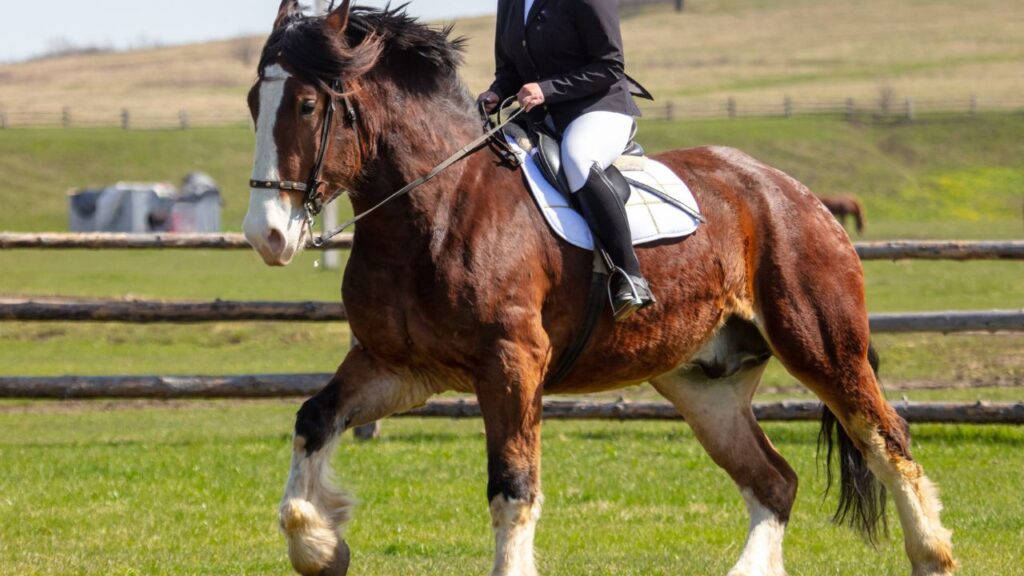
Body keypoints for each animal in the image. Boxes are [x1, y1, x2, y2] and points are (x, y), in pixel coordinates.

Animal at [242, 2, 955, 575]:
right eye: (254, 104)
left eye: (306, 105)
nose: (266, 236)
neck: (434, 209)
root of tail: (792, 192)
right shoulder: (399, 366)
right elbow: (313, 421)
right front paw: (322, 547)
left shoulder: (511, 364)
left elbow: (513, 487)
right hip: (705, 384)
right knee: (774, 483)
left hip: (821, 346)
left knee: (888, 441)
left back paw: (932, 554)